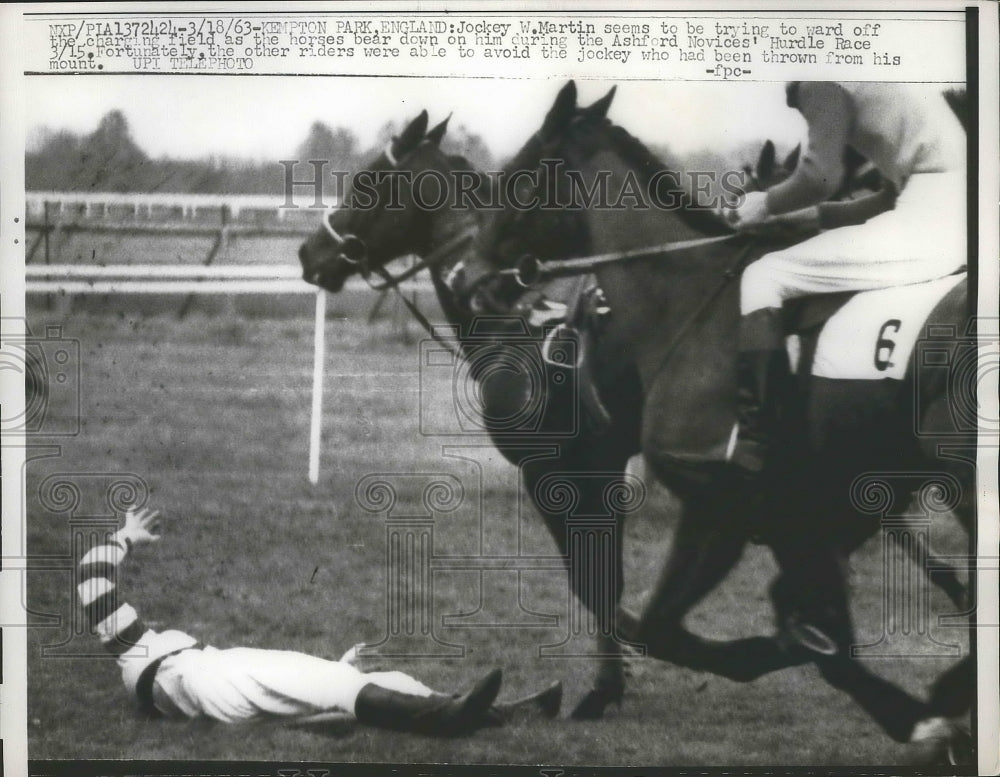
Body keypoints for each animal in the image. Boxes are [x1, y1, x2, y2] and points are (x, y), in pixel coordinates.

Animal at [294, 109, 640, 716]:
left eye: (366, 182)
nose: (309, 255)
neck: (521, 328)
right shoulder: (597, 468)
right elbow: (601, 575)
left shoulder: (559, 472)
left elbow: (593, 577)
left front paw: (604, 688)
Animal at [472, 80, 972, 752]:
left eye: (520, 176)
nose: (474, 275)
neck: (688, 302)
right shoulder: (811, 514)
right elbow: (791, 626)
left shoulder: (720, 504)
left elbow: (673, 627)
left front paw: (919, 713)